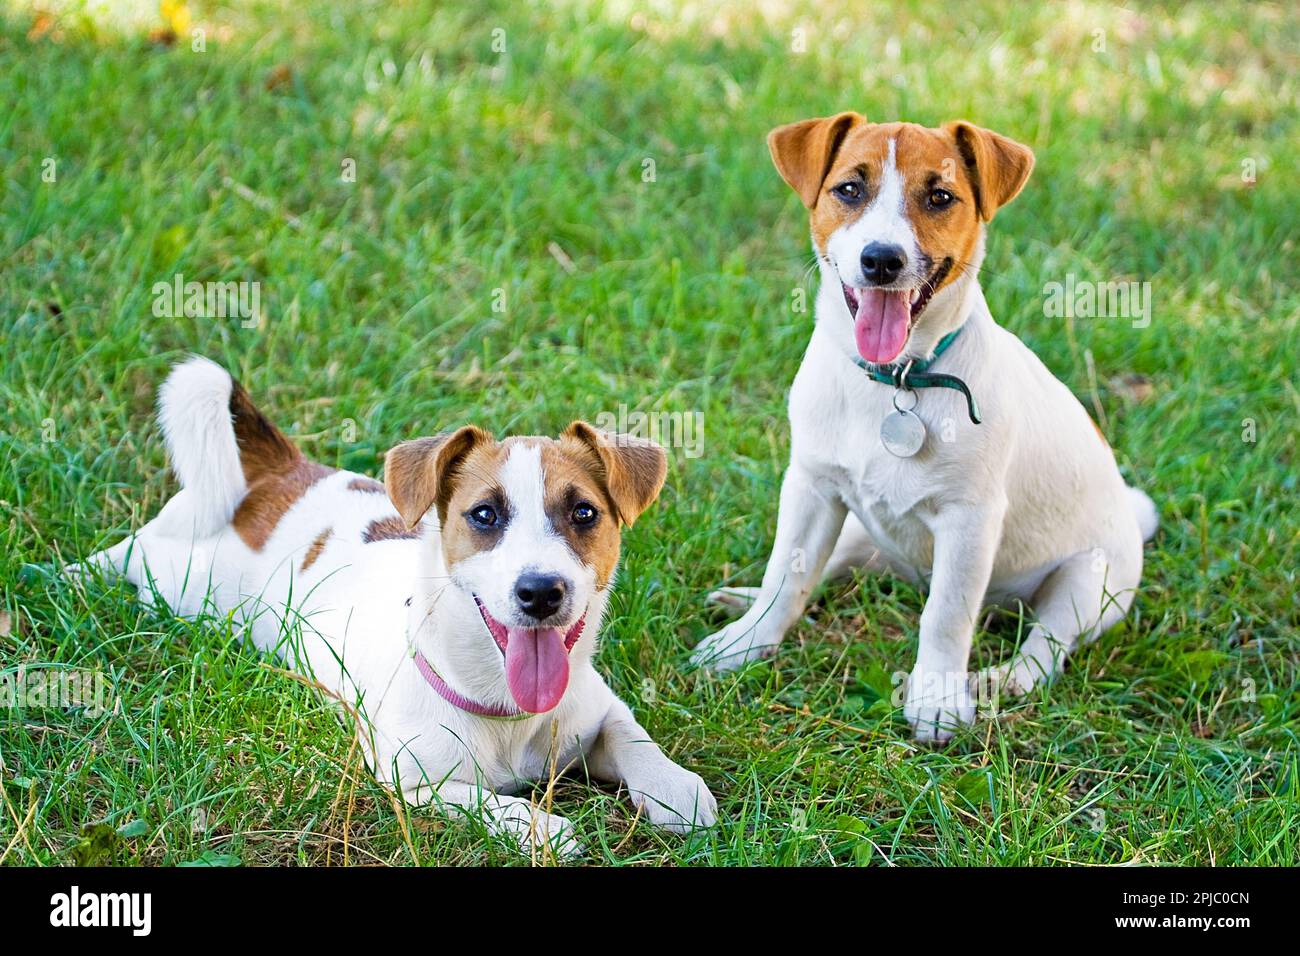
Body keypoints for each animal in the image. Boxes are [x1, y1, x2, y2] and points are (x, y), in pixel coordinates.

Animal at [74, 356, 717, 858]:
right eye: (485, 514)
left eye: (584, 512)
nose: (541, 592)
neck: (505, 710)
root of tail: (284, 474)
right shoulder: (414, 781)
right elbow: (489, 803)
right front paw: (542, 827)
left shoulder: (599, 712)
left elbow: (636, 739)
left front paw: (675, 788)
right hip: (180, 581)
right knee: (132, 551)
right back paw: (75, 573)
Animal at [691, 113, 1159, 738]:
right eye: (849, 189)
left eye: (940, 197)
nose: (881, 260)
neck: (898, 380)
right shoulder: (813, 486)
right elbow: (787, 573)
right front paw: (746, 644)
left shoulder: (970, 520)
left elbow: (946, 616)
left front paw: (936, 698)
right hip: (860, 529)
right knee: (827, 569)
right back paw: (741, 601)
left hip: (1090, 581)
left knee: (1047, 646)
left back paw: (1004, 679)